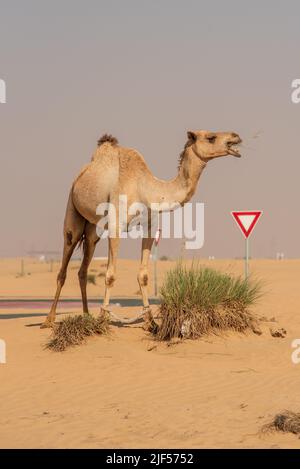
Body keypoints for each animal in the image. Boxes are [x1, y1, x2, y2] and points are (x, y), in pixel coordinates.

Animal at [41, 128, 241, 326]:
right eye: (211, 137)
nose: (236, 137)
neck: (145, 189)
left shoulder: (150, 227)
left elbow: (143, 275)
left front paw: (150, 321)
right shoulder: (115, 226)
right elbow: (110, 275)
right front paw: (103, 318)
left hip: (92, 229)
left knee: (83, 268)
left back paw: (86, 315)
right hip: (72, 211)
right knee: (64, 265)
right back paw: (49, 319)